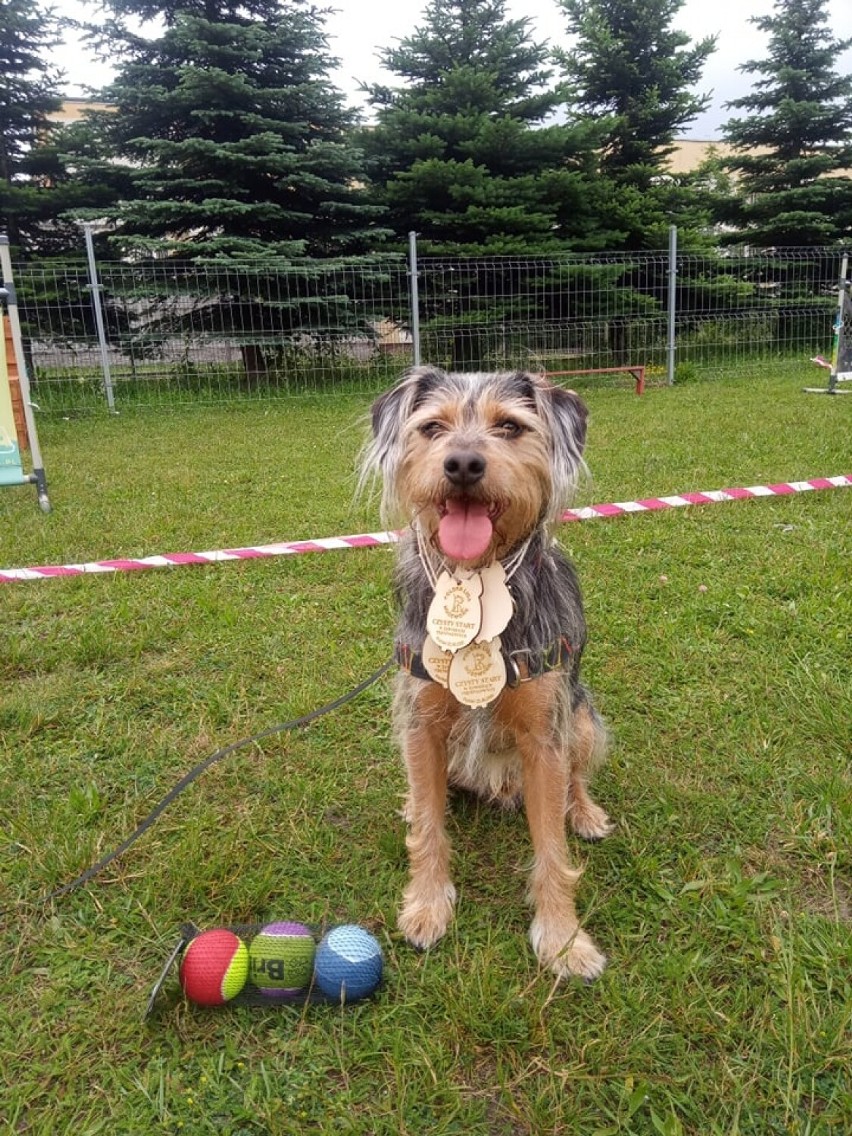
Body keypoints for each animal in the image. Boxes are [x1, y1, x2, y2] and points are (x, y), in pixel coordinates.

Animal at [363, 368, 617, 981]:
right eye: (432, 428)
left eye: (510, 426)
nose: (462, 464)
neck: (475, 574)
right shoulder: (421, 723)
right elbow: (429, 831)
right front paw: (427, 906)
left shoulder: (544, 737)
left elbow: (552, 850)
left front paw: (564, 940)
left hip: (582, 718)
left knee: (578, 776)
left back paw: (585, 812)